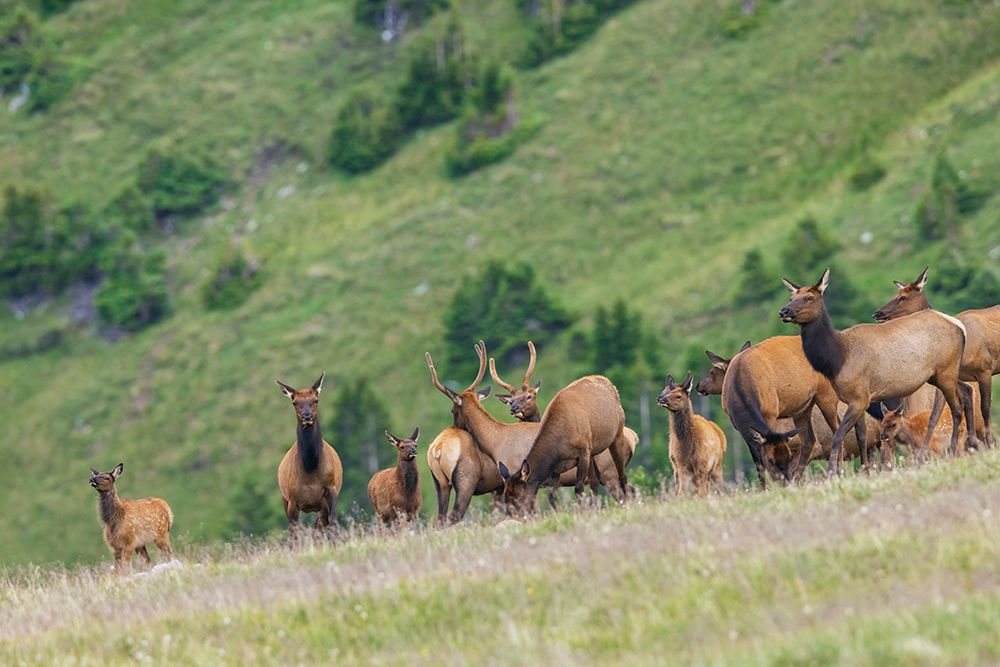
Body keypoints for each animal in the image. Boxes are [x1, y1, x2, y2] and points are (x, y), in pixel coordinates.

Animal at [275, 373, 343, 532]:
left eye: (315, 400)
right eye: (294, 402)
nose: (307, 416)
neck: (310, 468)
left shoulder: (331, 489)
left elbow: (333, 521)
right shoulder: (292, 500)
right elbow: (294, 529)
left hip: (321, 506)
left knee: (320, 525)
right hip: (283, 498)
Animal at [489, 343, 638, 502]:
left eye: (520, 498)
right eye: (506, 498)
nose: (513, 409)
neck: (561, 443)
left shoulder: (583, 451)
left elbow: (578, 489)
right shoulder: (556, 468)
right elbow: (552, 496)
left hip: (615, 437)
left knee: (623, 477)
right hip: (594, 450)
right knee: (595, 482)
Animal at [779, 267, 969, 473]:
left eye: (809, 297)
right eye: (791, 297)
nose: (783, 310)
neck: (837, 359)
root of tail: (960, 326)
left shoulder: (859, 398)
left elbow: (838, 435)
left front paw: (833, 472)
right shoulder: (859, 400)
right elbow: (862, 437)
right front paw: (865, 470)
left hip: (946, 371)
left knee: (956, 408)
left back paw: (953, 450)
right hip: (938, 375)